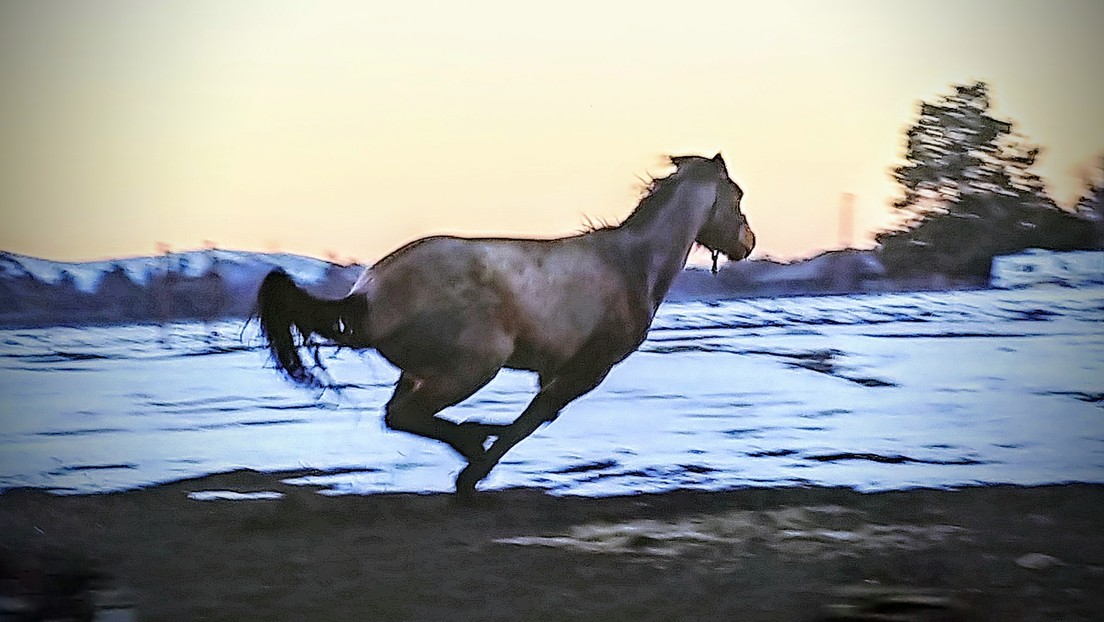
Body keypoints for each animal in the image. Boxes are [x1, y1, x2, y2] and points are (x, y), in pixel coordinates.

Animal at [253, 154, 755, 497]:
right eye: (737, 197)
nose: (748, 242)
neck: (633, 265)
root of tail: (370, 296)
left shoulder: (560, 372)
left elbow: (536, 417)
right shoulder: (585, 370)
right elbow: (532, 420)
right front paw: (475, 470)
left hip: (423, 371)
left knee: (398, 416)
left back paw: (470, 440)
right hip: (472, 367)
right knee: (407, 415)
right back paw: (473, 444)